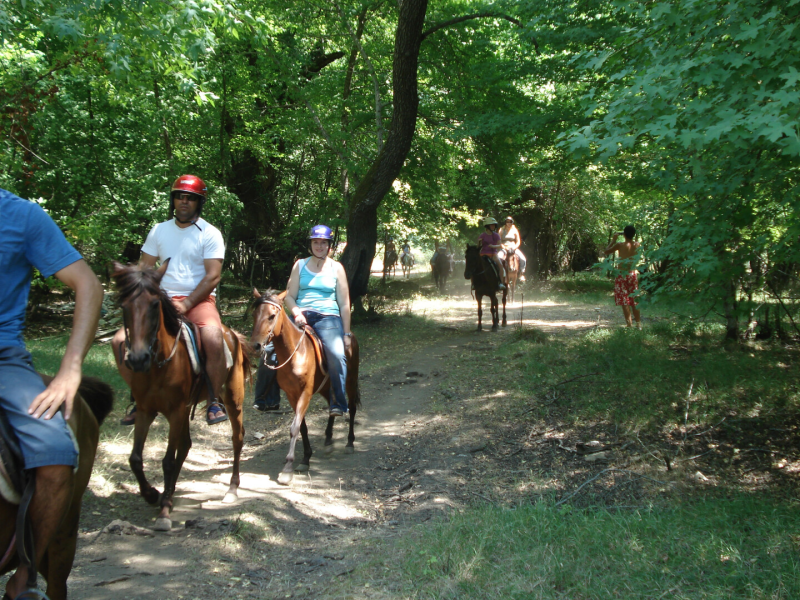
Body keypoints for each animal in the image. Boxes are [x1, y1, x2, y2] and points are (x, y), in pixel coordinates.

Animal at [111, 260, 250, 532]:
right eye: (124, 306)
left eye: (155, 305)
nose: (138, 359)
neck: (159, 366)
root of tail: (233, 335)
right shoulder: (147, 411)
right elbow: (136, 458)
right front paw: (153, 494)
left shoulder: (175, 412)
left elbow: (167, 461)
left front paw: (164, 510)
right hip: (186, 409)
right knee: (185, 445)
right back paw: (170, 492)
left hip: (232, 400)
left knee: (237, 438)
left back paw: (231, 488)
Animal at [252, 288, 360, 486]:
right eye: (254, 315)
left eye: (272, 316)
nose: (255, 346)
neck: (294, 353)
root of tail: (350, 335)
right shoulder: (291, 395)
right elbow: (302, 427)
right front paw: (305, 459)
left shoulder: (305, 393)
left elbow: (294, 428)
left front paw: (288, 468)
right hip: (326, 387)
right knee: (332, 406)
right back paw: (328, 439)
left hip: (350, 380)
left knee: (351, 407)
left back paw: (349, 442)